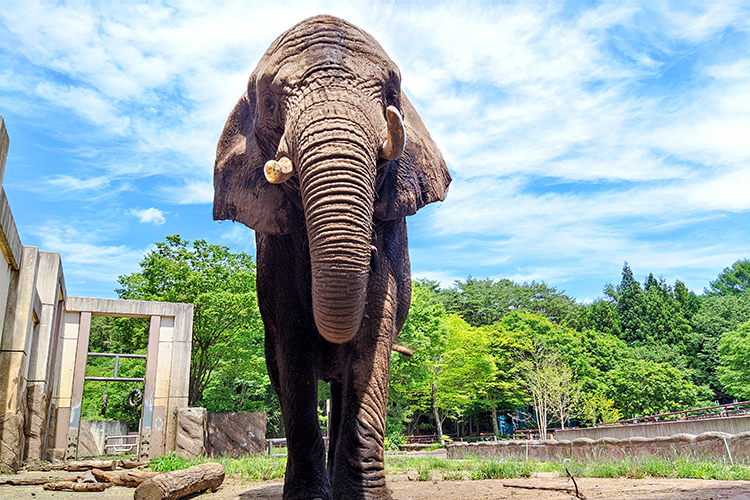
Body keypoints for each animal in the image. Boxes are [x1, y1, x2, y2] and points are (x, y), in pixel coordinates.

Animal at [214, 14, 452, 500]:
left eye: (391, 94)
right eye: (269, 101)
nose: (373, 253)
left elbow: (373, 334)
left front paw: (366, 497)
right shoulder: (273, 245)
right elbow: (291, 338)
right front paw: (307, 497)